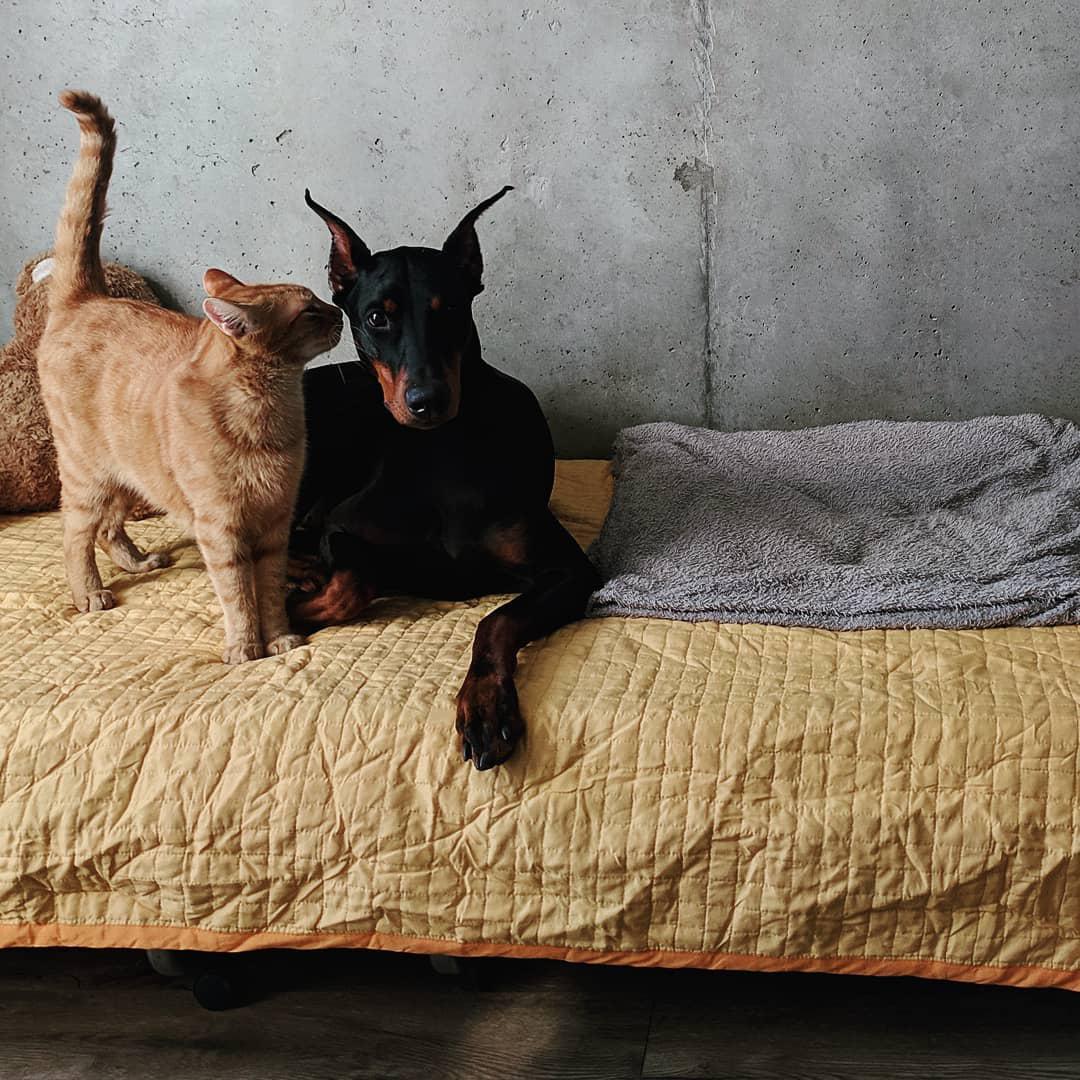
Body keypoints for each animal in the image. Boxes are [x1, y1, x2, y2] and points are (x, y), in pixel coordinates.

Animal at [38, 92, 341, 660]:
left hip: (130, 474)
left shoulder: (275, 523)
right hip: (88, 474)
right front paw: (245, 649)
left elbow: (269, 590)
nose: (338, 310)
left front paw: (281, 638)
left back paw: (138, 562)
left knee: (109, 528)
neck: (269, 412)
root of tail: (86, 297)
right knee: (75, 534)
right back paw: (89, 593)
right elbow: (237, 593)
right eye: (309, 311)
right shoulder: (221, 528)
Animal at [287, 190, 600, 773]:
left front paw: (485, 706)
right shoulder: (344, 525)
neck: (442, 451)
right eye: (376, 318)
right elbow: (352, 584)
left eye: (450, 310)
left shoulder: (571, 570)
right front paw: (288, 610)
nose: (427, 400)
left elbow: (496, 620)